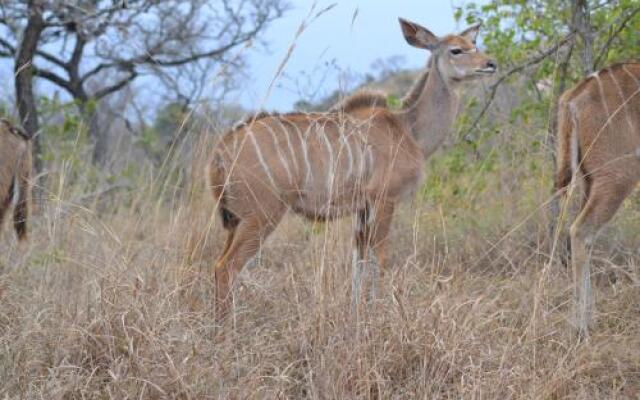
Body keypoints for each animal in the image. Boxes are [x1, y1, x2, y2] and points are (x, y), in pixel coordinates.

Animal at [208, 18, 498, 312]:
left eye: (474, 44)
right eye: (456, 50)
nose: (490, 63)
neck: (408, 129)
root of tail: (222, 150)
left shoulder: (362, 209)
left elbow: (359, 263)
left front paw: (358, 312)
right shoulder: (384, 200)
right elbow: (380, 259)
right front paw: (380, 311)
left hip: (236, 220)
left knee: (219, 265)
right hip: (262, 215)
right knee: (226, 267)